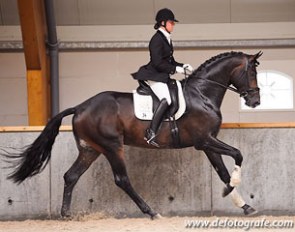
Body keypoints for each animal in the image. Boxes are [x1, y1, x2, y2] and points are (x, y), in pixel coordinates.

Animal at [4, 50, 264, 219]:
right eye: (251, 73)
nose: (255, 101)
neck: (203, 93)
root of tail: (79, 107)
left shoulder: (208, 142)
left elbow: (222, 171)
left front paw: (243, 204)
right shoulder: (204, 140)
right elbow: (238, 154)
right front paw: (233, 189)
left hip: (91, 149)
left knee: (71, 176)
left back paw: (66, 215)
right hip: (112, 147)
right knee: (122, 179)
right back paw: (151, 212)